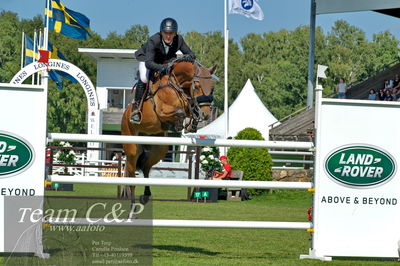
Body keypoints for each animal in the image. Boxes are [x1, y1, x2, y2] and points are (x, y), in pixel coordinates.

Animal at [121, 57, 216, 217]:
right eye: (197, 85)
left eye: (212, 87)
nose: (206, 115)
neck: (178, 85)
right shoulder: (162, 111)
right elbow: (179, 112)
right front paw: (180, 124)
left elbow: (189, 110)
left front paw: (191, 123)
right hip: (132, 149)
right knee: (132, 177)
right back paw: (132, 209)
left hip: (159, 149)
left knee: (146, 167)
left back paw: (146, 195)